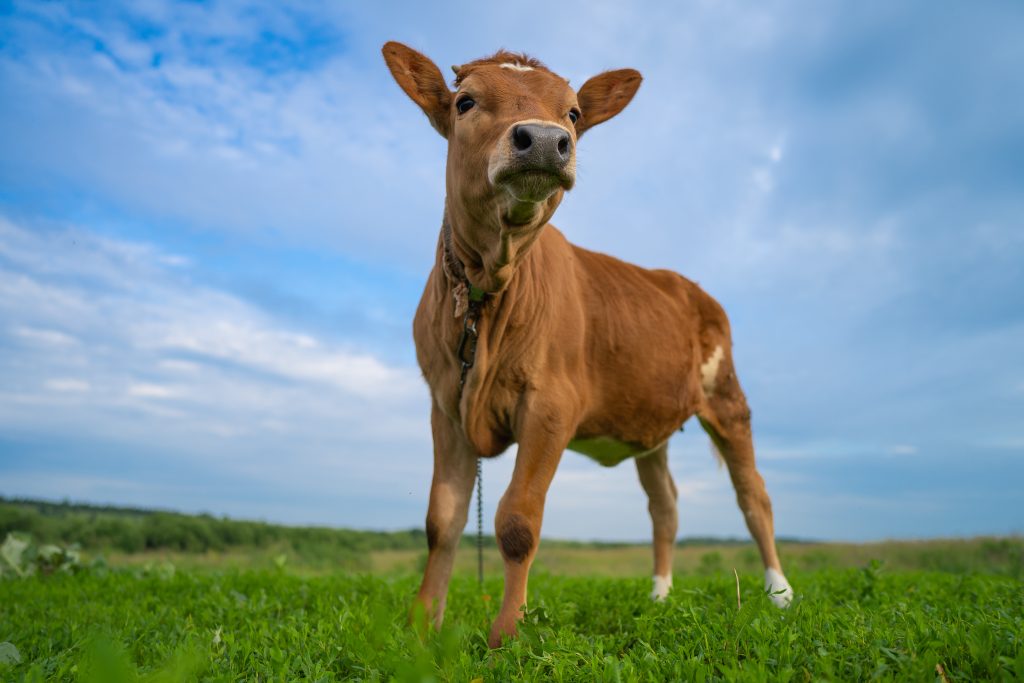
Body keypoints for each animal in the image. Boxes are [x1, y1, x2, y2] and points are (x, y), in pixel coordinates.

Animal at [385, 40, 790, 651]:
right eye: (465, 101)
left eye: (573, 112)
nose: (545, 139)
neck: (489, 291)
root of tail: (686, 283)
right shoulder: (445, 403)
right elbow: (443, 521)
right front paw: (420, 628)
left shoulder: (551, 404)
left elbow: (517, 521)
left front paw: (507, 635)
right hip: (650, 424)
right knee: (664, 505)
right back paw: (659, 597)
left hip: (727, 397)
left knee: (754, 495)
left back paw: (779, 594)